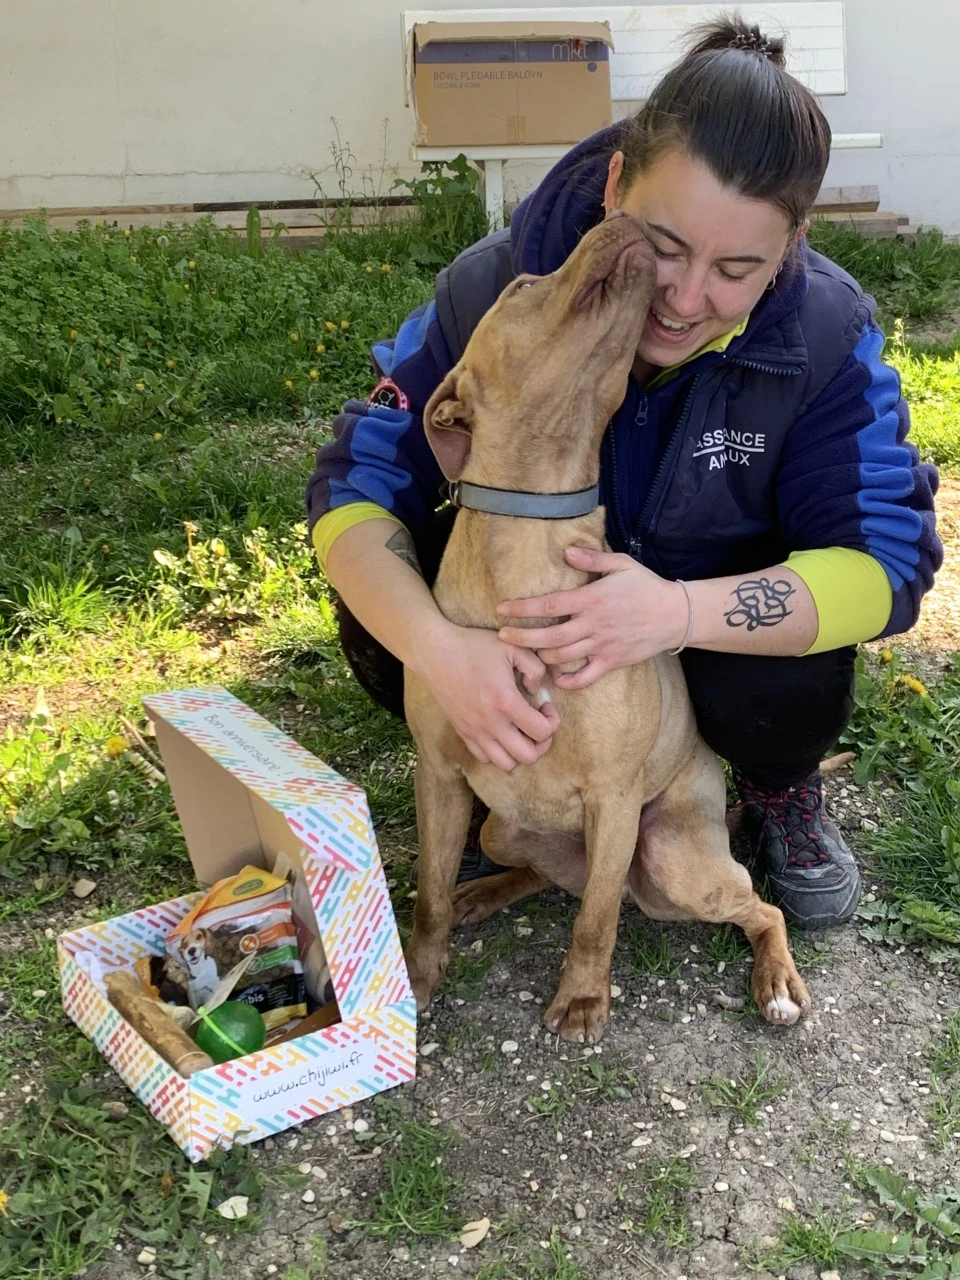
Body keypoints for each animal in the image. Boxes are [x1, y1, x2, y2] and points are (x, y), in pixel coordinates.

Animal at [401, 215, 814, 1044]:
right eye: (523, 287)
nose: (625, 221)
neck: (530, 544)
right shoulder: (441, 777)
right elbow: (427, 896)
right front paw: (417, 978)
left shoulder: (615, 799)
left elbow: (594, 920)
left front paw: (585, 998)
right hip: (500, 828)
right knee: (538, 871)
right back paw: (480, 893)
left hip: (673, 859)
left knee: (753, 907)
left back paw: (778, 981)